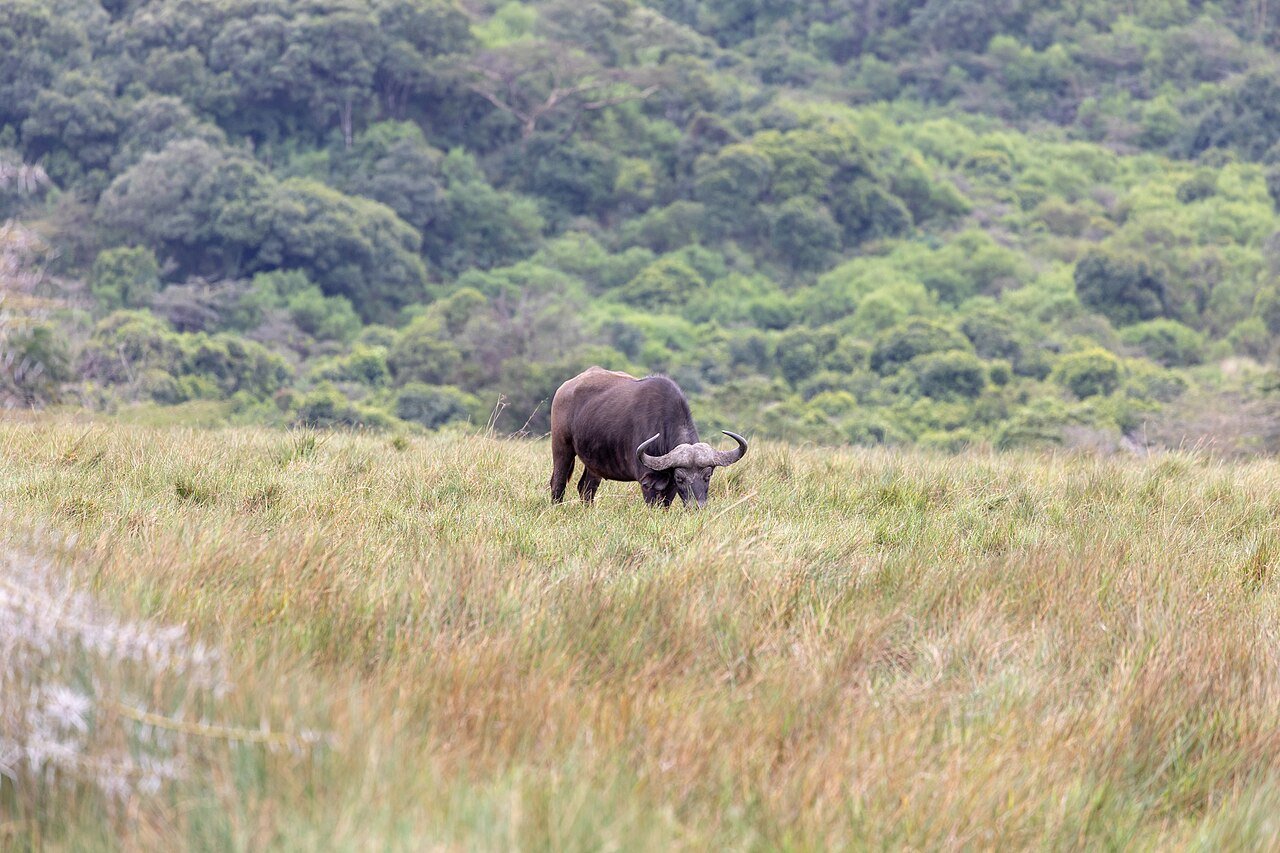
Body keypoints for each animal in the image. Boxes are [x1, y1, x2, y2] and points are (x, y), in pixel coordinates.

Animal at [549, 366, 747, 507]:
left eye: (707, 476)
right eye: (680, 478)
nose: (696, 507)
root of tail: (563, 389)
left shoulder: (669, 486)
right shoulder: (647, 481)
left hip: (594, 463)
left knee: (586, 488)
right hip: (561, 447)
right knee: (558, 483)